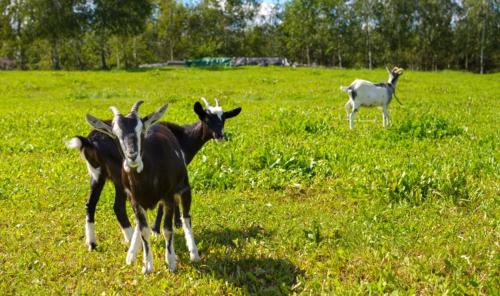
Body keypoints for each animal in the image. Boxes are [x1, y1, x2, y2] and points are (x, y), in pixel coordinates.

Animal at [65, 98, 241, 251]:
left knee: (90, 204)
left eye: (223, 118)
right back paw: (132, 240)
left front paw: (175, 222)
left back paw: (92, 244)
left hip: (96, 174)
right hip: (119, 176)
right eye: (206, 118)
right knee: (118, 207)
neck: (183, 137)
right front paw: (160, 229)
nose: (220, 135)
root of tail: (89, 141)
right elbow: (165, 203)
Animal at [82, 102, 197, 272]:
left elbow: (167, 229)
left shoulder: (168, 197)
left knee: (186, 217)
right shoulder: (135, 200)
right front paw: (147, 265)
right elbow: (144, 230)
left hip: (184, 188)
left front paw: (171, 262)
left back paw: (194, 253)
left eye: (141, 130)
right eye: (115, 134)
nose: (132, 156)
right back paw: (130, 254)